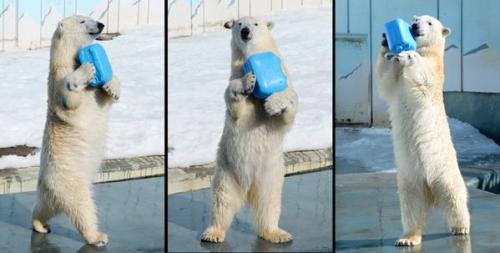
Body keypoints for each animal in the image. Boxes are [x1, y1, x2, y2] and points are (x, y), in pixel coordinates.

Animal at [31, 14, 120, 246]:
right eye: (82, 21)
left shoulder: (95, 94)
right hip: (69, 180)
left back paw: (41, 224)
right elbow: (69, 100)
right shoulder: (57, 80)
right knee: (83, 208)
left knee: (44, 207)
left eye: (91, 17)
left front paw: (112, 86)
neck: (70, 59)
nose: (101, 24)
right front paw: (87, 70)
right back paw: (98, 237)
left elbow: (105, 98)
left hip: (52, 191)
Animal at [200, 16, 300, 243]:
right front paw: (247, 82)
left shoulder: (287, 79)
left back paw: (277, 233)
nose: (245, 31)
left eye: (256, 24)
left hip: (270, 176)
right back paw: (213, 233)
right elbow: (236, 107)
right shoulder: (235, 77)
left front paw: (274, 104)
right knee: (222, 202)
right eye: (238, 24)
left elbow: (287, 110)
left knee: (269, 204)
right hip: (226, 172)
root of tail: (247, 191)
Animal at [376, 14, 470, 246]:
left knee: (455, 197)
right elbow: (386, 82)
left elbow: (424, 80)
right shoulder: (395, 81)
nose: (415, 25)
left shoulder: (435, 70)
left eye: (429, 22)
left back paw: (461, 227)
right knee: (411, 206)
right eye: (416, 18)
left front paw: (409, 55)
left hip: (444, 171)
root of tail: (430, 192)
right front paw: (385, 42)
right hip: (409, 178)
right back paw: (408, 238)